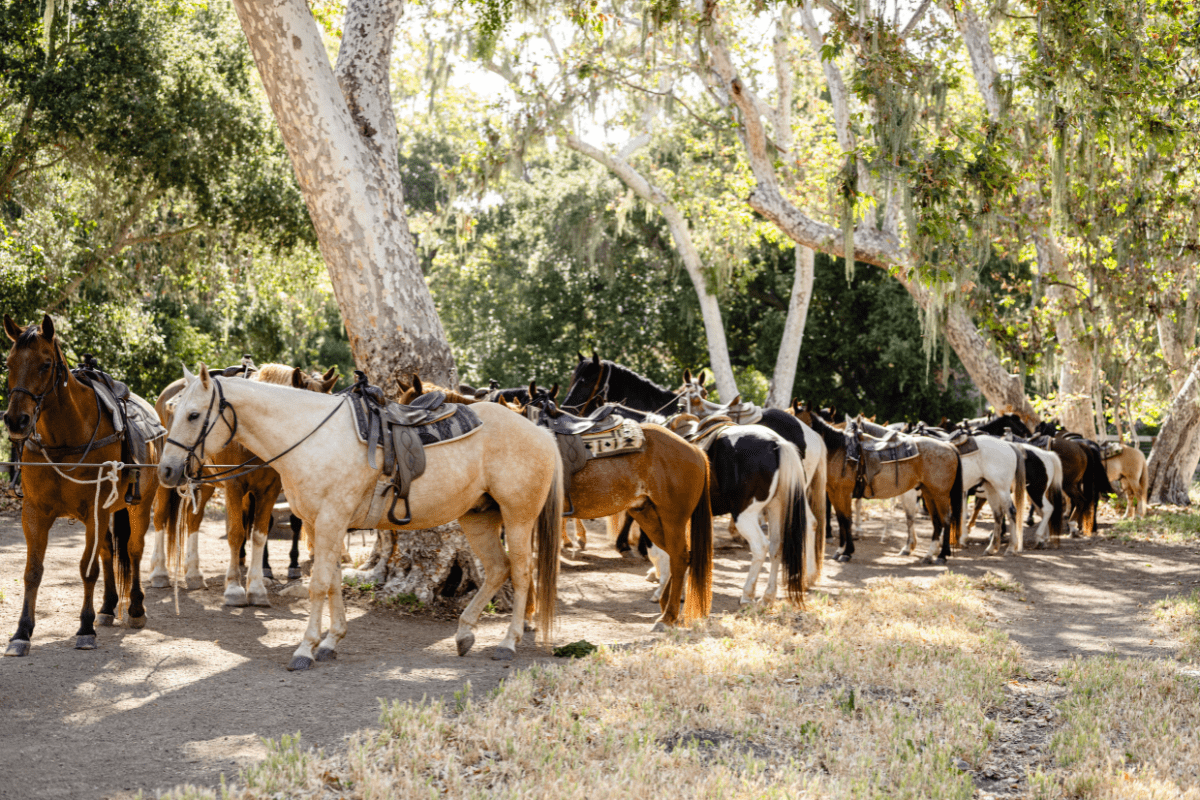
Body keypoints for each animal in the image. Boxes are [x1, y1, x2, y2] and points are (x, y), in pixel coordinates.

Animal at [3, 314, 162, 656]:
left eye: (46, 364)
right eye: (8, 363)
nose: (16, 421)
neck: (64, 438)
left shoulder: (95, 511)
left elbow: (88, 570)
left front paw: (85, 628)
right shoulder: (34, 513)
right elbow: (32, 573)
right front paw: (21, 634)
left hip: (140, 506)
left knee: (133, 550)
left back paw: (135, 609)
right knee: (108, 552)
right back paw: (107, 607)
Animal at [147, 364, 339, 605]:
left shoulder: (269, 490)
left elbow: (259, 534)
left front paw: (256, 587)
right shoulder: (235, 487)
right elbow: (236, 533)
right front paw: (234, 588)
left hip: (205, 482)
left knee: (193, 520)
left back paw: (194, 574)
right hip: (167, 480)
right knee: (161, 516)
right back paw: (159, 572)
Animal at [523, 387, 714, 625]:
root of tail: (695, 450)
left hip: (673, 519)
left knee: (679, 558)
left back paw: (667, 616)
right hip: (648, 515)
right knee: (676, 555)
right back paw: (664, 604)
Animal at [795, 407, 963, 564]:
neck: (839, 451)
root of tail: (949, 447)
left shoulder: (843, 493)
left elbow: (847, 520)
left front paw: (847, 552)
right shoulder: (833, 493)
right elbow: (842, 519)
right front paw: (840, 550)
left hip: (940, 494)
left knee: (946, 519)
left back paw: (942, 555)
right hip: (929, 493)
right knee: (937, 521)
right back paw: (929, 555)